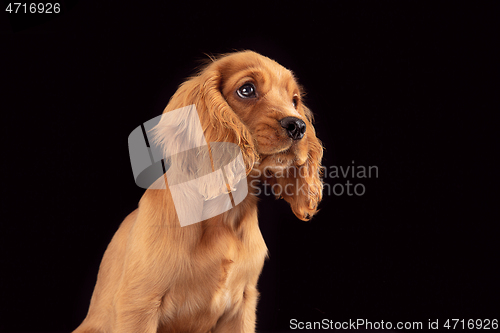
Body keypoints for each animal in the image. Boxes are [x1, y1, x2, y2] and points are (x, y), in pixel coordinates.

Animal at [74, 50, 324, 332]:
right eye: (247, 90)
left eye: (295, 100)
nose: (298, 126)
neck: (222, 213)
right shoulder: (138, 304)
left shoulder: (242, 307)